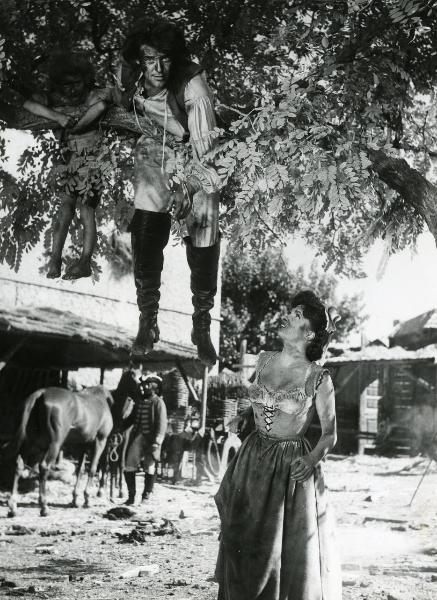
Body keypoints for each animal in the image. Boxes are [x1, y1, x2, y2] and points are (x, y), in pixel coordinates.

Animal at [5, 386, 116, 516]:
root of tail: (40, 393)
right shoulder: (100, 441)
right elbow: (92, 469)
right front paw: (87, 499)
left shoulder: (83, 445)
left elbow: (80, 470)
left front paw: (75, 499)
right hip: (54, 444)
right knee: (44, 467)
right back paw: (44, 507)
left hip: (30, 444)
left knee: (19, 466)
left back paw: (13, 506)